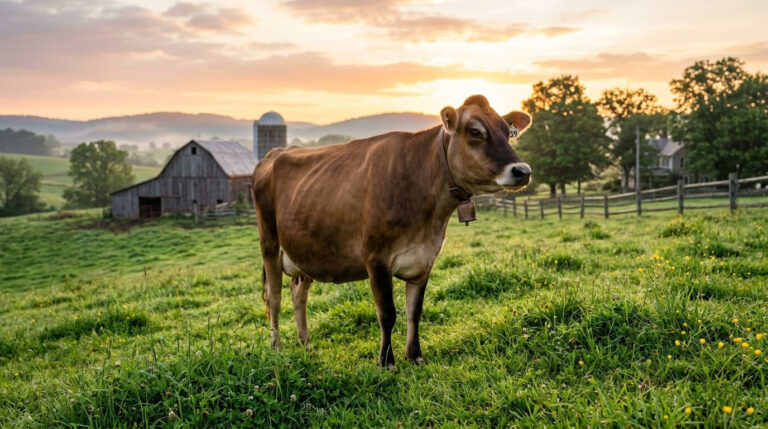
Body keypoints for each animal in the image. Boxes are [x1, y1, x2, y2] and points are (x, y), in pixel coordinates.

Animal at [251, 95, 532, 368]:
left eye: (508, 132)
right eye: (475, 131)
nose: (523, 170)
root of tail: (275, 153)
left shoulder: (423, 260)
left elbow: (414, 312)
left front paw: (414, 356)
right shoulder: (376, 259)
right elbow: (387, 313)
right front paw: (386, 361)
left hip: (304, 252)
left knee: (298, 294)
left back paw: (306, 344)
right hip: (269, 245)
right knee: (274, 299)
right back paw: (277, 348)